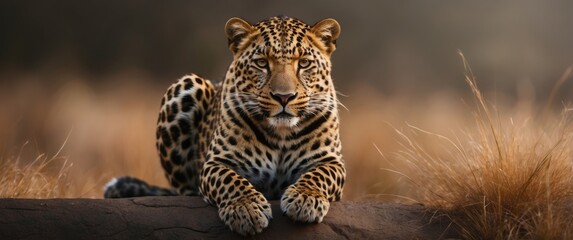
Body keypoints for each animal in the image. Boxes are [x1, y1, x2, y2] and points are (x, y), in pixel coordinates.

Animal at [103, 15, 344, 236]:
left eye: (304, 63)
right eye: (262, 63)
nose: (284, 97)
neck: (281, 133)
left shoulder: (331, 161)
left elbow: (319, 175)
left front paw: (306, 198)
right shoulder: (217, 162)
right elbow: (230, 180)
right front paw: (246, 209)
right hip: (185, 85)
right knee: (184, 191)